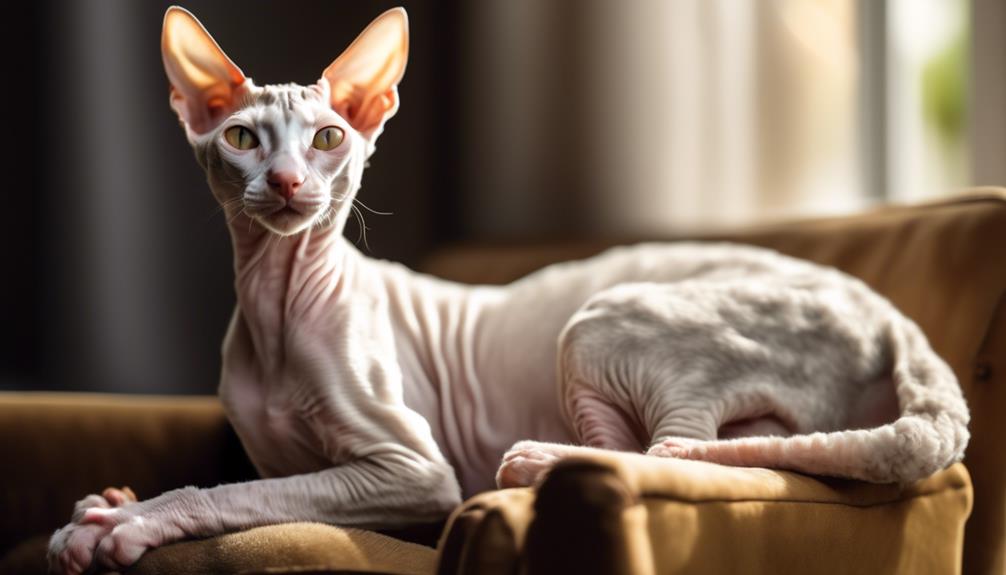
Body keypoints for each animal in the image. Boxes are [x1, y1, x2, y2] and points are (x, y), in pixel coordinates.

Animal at [45, 5, 965, 575]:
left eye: (329, 138)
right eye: (241, 138)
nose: (285, 181)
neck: (277, 305)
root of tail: (891, 315)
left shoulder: (415, 471)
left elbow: (241, 494)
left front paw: (126, 522)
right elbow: (258, 482)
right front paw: (109, 500)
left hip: (598, 321)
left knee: (664, 450)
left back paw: (536, 463)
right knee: (731, 446)